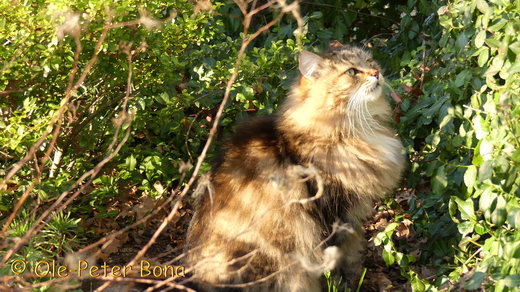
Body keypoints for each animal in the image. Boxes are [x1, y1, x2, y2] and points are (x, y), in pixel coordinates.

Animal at [184, 41, 406, 292]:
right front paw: (343, 286)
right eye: (352, 72)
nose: (376, 73)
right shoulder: (332, 213)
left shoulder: (351, 217)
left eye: (369, 62)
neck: (350, 130)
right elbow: (334, 265)